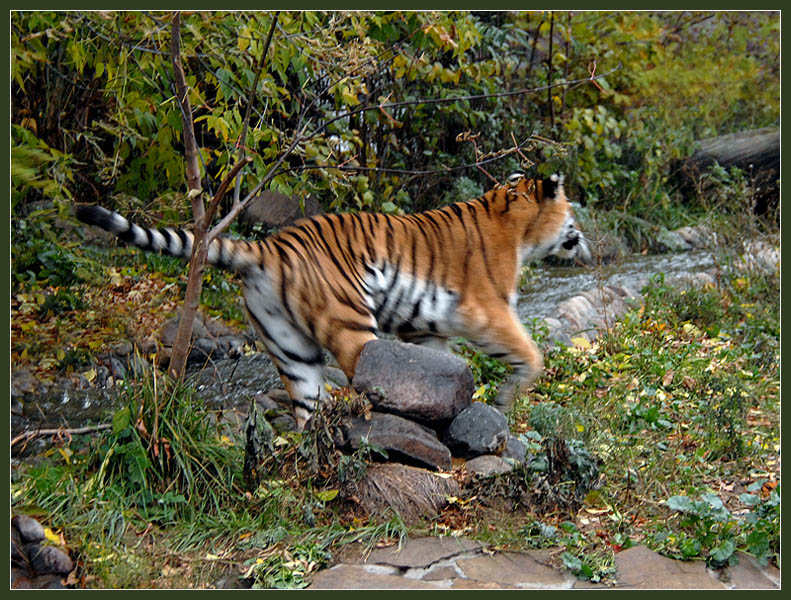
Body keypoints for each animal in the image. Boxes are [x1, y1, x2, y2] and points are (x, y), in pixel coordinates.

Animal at [77, 173, 592, 432]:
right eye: (571, 210)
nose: (582, 236)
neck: (515, 222)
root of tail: (266, 249)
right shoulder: (488, 310)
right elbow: (530, 353)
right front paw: (507, 397)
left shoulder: (425, 327)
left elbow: (443, 368)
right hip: (351, 324)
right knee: (362, 378)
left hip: (289, 347)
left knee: (308, 405)